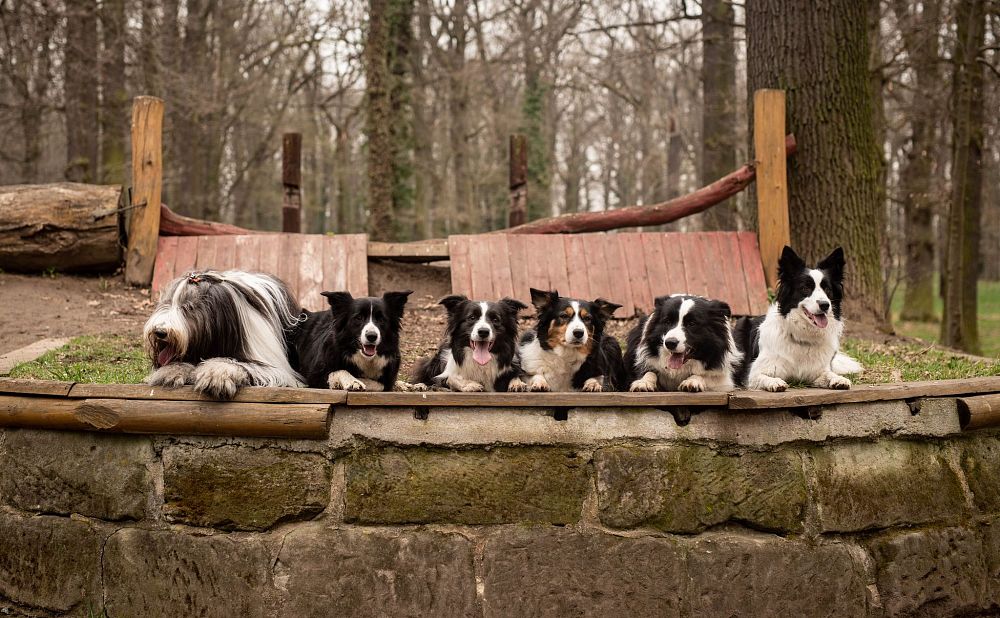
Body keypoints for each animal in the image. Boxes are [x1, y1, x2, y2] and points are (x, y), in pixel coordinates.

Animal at [143, 270, 302, 400]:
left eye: (189, 307)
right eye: (166, 303)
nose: (160, 332)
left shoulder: (275, 368)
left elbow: (237, 364)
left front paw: (215, 374)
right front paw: (171, 370)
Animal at [732, 245, 864, 390]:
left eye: (827, 289)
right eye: (805, 288)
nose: (825, 305)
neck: (803, 336)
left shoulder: (816, 373)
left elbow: (829, 374)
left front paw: (839, 379)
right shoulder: (753, 374)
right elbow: (764, 377)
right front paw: (774, 382)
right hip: (740, 324)